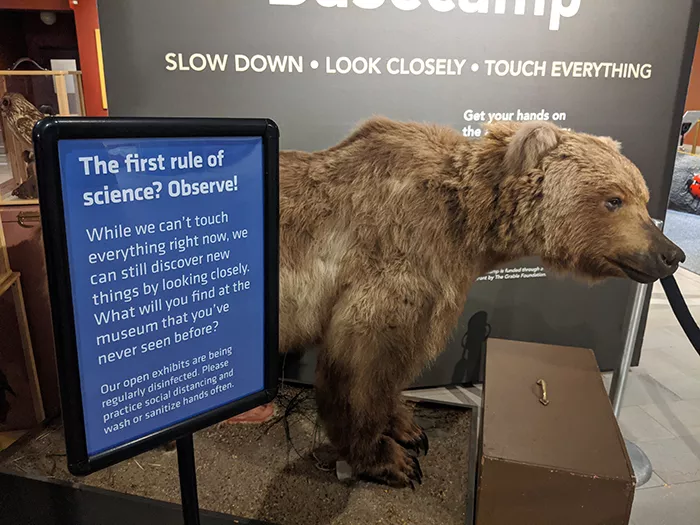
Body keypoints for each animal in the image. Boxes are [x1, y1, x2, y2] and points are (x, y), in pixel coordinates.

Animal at [277, 116, 685, 488]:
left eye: (644, 197)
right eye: (614, 199)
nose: (672, 254)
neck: (466, 222)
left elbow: (394, 364)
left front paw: (408, 428)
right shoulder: (396, 255)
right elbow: (362, 359)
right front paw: (389, 459)